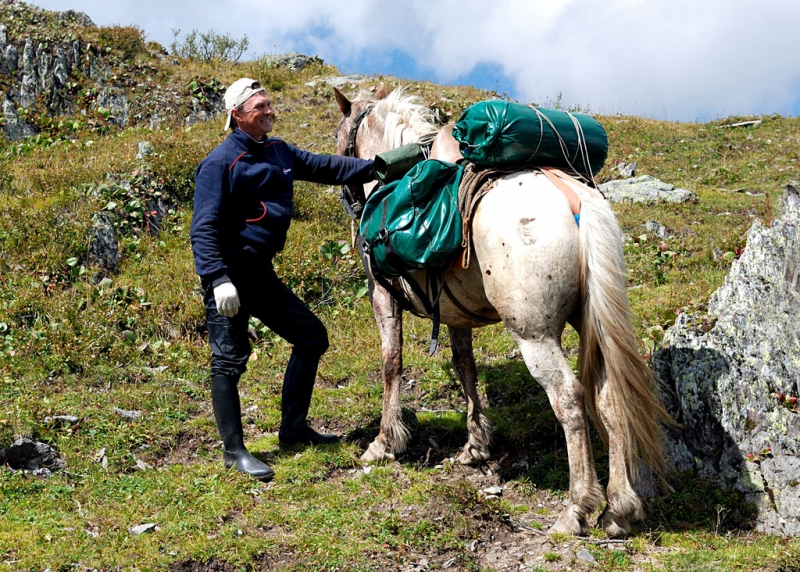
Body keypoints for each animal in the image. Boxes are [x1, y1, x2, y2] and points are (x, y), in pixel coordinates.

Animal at [334, 85, 672, 536]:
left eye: (340, 137)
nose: (349, 200)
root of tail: (577, 200)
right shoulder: (454, 313)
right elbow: (465, 368)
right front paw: (476, 447)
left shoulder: (383, 297)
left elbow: (392, 364)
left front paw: (385, 443)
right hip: (591, 325)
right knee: (607, 398)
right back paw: (617, 510)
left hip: (534, 334)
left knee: (568, 397)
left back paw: (576, 508)